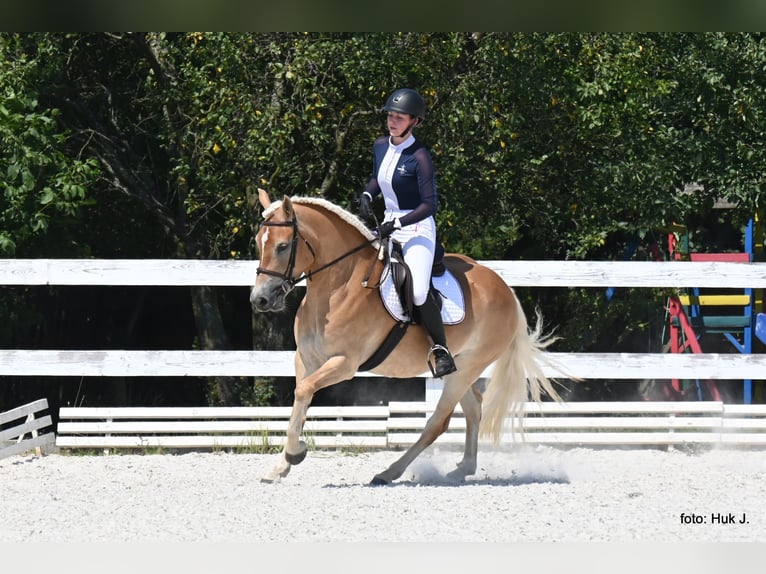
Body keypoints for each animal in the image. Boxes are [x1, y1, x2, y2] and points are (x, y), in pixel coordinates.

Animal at [252, 190, 564, 486]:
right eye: (258, 242)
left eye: (283, 246)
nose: (260, 300)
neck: (338, 286)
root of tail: (505, 288)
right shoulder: (305, 359)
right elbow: (299, 399)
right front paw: (281, 466)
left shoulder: (345, 363)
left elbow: (303, 391)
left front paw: (296, 453)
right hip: (460, 368)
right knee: (474, 409)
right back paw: (463, 468)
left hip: (468, 367)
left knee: (438, 422)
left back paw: (389, 472)